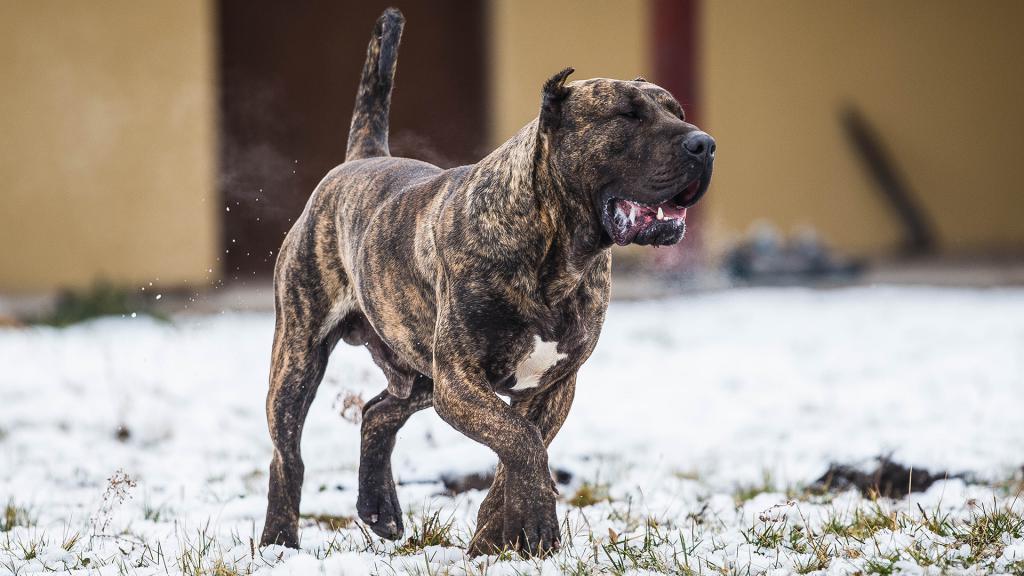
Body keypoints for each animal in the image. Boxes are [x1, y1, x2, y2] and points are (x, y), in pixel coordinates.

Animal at [260, 8, 716, 553]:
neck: (556, 249)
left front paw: (495, 538)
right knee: (287, 453)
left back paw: (379, 509)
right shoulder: (461, 381)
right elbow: (521, 442)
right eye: (628, 116)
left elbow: (520, 449)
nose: (704, 143)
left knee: (377, 412)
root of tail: (361, 158)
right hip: (301, 354)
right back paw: (279, 539)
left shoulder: (550, 387)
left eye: (678, 111)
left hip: (420, 371)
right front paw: (534, 523)